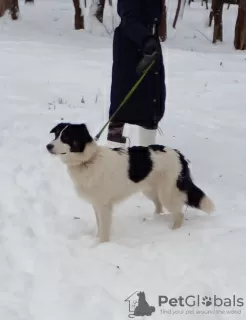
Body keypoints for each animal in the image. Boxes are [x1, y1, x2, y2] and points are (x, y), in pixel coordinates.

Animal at [46, 123, 213, 242]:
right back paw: (155, 219)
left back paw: (173, 232)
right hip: (150, 190)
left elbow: (104, 231)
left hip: (168, 193)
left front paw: (101, 246)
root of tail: (179, 154)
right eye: (56, 135)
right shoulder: (96, 204)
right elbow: (99, 226)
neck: (89, 160)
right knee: (159, 206)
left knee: (179, 215)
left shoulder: (104, 206)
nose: (48, 146)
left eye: (66, 137)